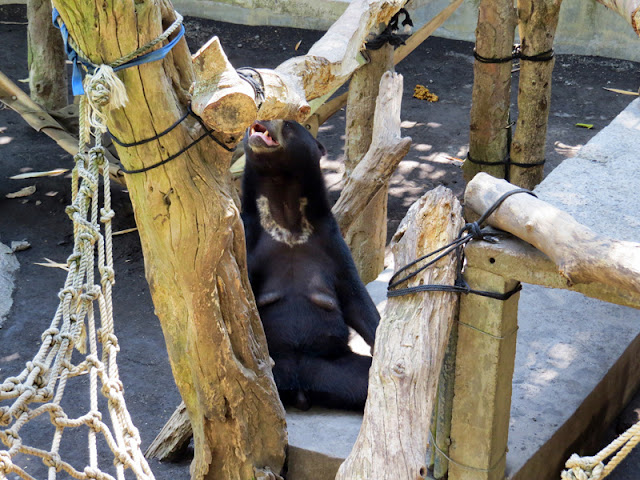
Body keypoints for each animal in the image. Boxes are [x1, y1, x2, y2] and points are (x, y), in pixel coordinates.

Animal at [241, 120, 380, 412]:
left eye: (288, 123)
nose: (262, 119)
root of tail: (301, 387)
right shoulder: (248, 240)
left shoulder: (330, 242)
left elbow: (355, 297)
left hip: (334, 365)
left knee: (364, 378)